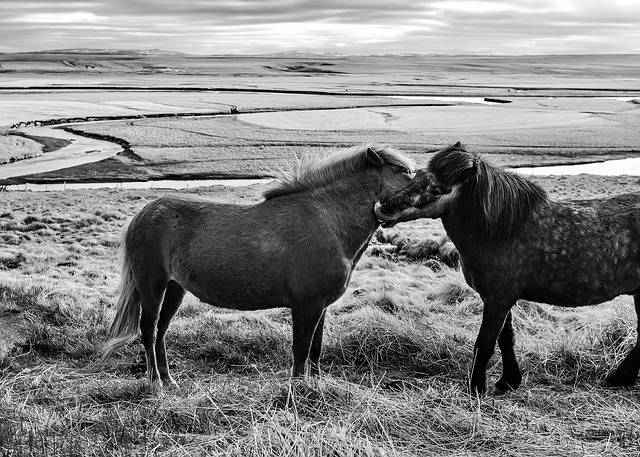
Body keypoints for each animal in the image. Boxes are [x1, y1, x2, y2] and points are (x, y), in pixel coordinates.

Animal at [102, 143, 418, 384]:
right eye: (404, 172)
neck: (329, 221)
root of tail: (144, 213)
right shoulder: (306, 305)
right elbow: (301, 350)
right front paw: (297, 391)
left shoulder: (321, 306)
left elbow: (315, 349)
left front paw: (315, 385)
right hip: (152, 287)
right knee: (148, 330)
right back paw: (155, 382)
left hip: (174, 288)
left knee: (161, 333)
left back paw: (169, 380)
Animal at [378, 143, 640, 396]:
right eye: (417, 174)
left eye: (436, 190)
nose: (383, 207)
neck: (499, 231)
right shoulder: (496, 297)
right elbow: (506, 339)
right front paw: (508, 381)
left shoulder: (499, 299)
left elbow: (484, 343)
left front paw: (476, 388)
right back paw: (620, 378)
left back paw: (619, 378)